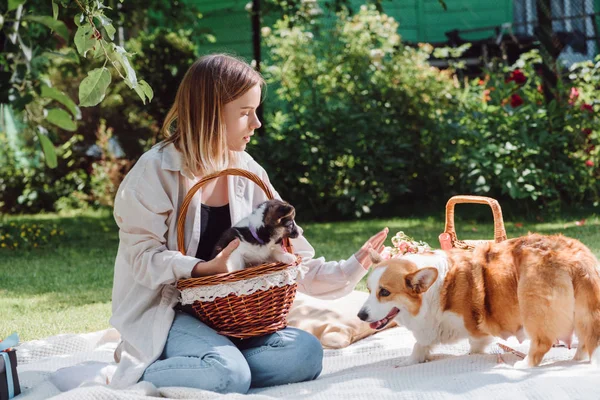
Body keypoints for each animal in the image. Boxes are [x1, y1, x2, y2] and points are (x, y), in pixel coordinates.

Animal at [356, 234, 600, 368]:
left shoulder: (475, 331)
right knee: (585, 339)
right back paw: (576, 360)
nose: (360, 315)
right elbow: (420, 345)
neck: (435, 291)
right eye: (368, 289)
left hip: (532, 300)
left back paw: (523, 365)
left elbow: (473, 348)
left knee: (543, 342)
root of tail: (578, 258)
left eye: (384, 292)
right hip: (582, 311)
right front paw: (410, 361)